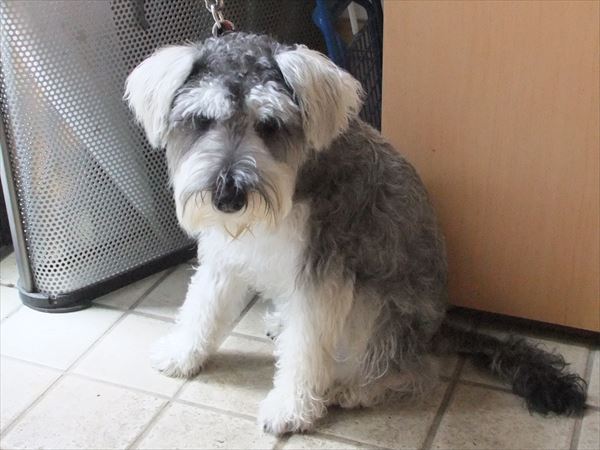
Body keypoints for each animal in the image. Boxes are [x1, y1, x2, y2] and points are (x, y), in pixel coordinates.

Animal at [125, 32, 586, 435]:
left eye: (270, 125)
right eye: (201, 120)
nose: (227, 196)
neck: (296, 181)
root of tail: (437, 332)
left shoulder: (322, 280)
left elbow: (306, 349)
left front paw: (290, 408)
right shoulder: (227, 258)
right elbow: (203, 307)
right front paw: (182, 355)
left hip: (374, 306)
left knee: (412, 370)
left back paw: (353, 387)